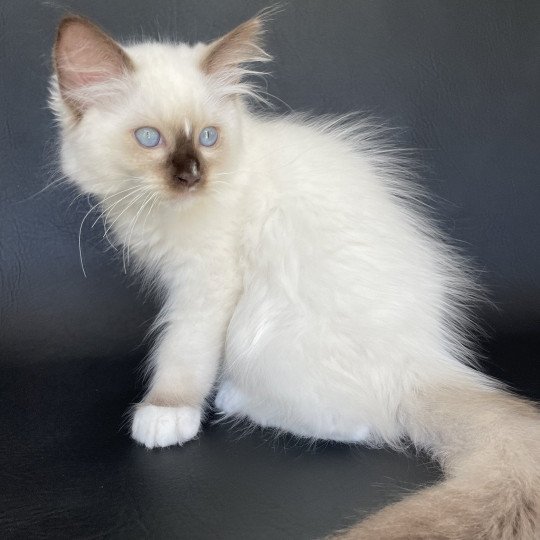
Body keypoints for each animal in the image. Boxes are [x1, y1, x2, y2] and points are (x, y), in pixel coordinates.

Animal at [49, 11, 536, 540]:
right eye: (149, 139)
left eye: (208, 138)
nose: (192, 175)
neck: (162, 212)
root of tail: (428, 361)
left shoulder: (207, 283)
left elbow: (182, 353)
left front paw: (167, 412)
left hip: (259, 332)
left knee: (362, 425)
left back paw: (235, 399)